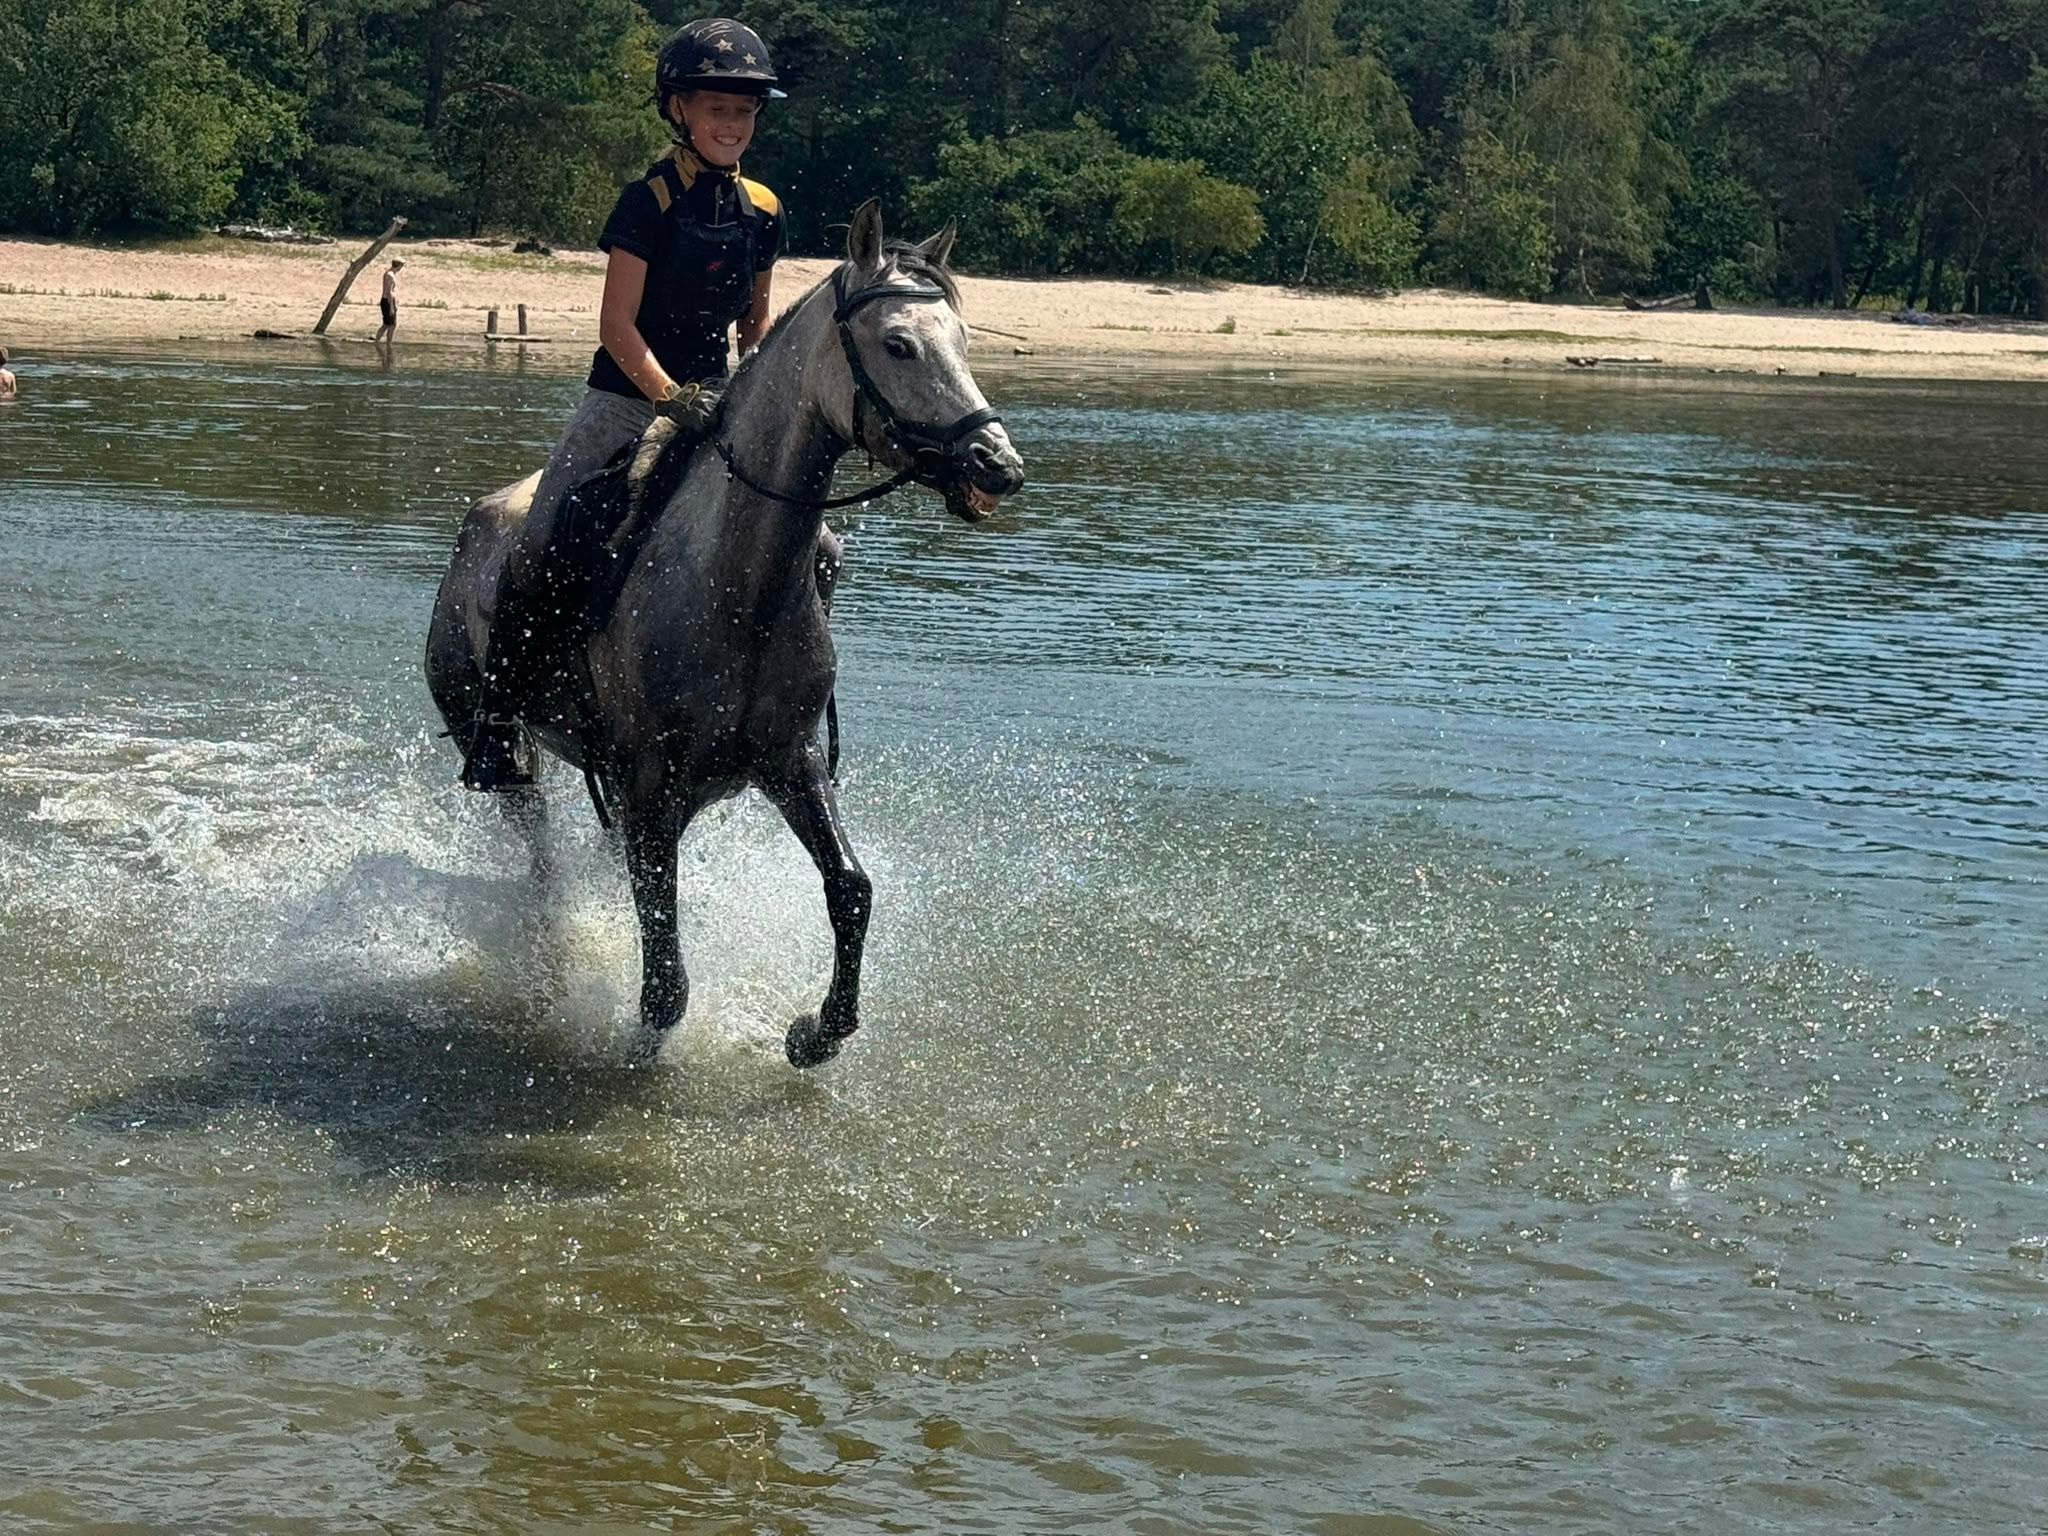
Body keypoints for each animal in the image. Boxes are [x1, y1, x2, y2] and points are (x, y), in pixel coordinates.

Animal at [425, 202, 1025, 1067]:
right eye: (898, 344)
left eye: (965, 339)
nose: (996, 465)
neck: (736, 586)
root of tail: (476, 527)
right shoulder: (651, 789)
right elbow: (665, 973)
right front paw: (640, 1050)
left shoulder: (789, 761)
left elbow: (850, 888)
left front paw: (816, 1032)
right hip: (508, 757)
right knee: (538, 866)